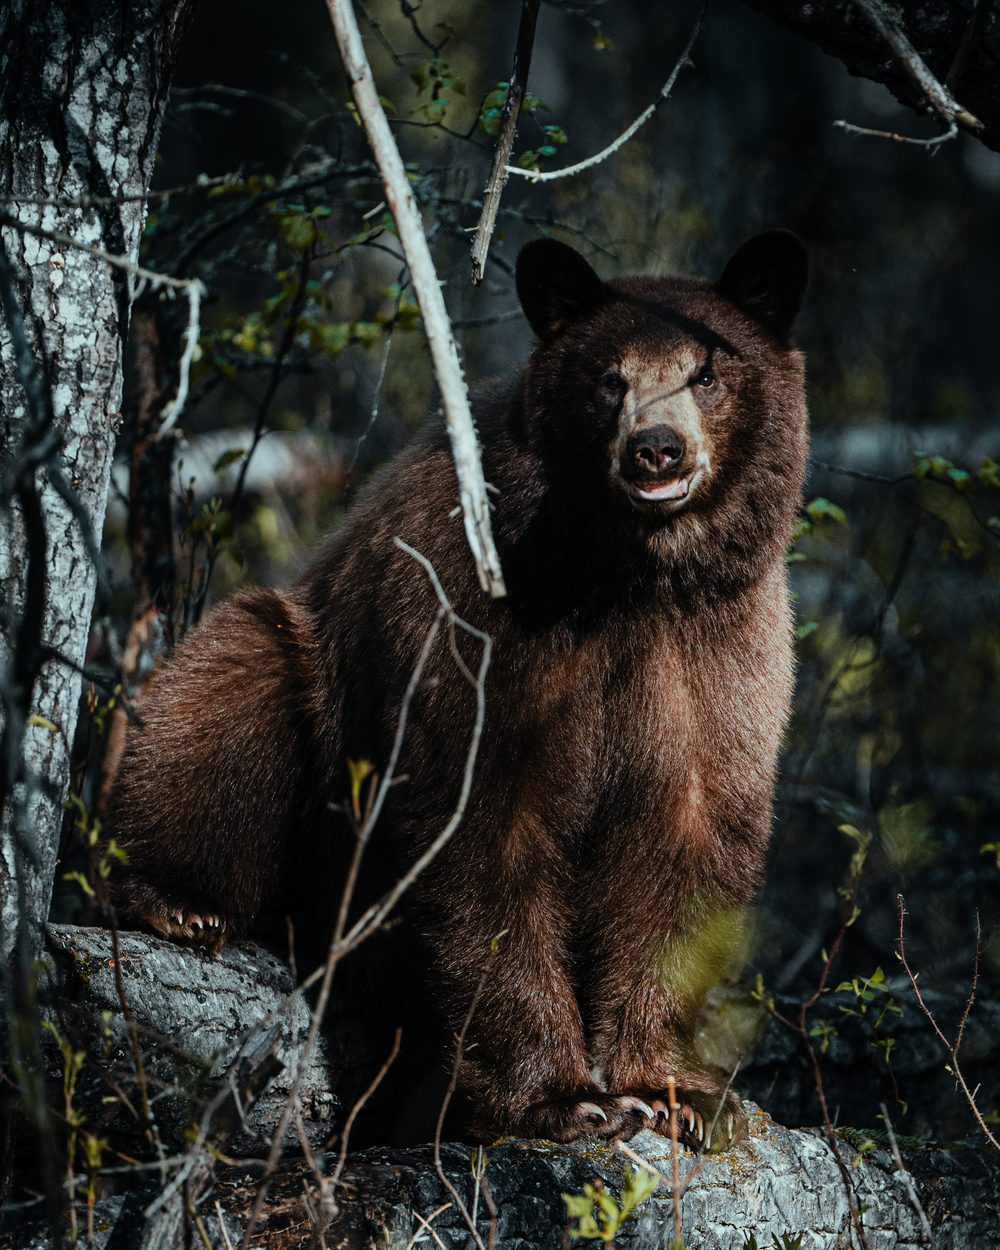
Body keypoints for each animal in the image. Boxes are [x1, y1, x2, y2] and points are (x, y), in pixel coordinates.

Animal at [109, 230, 809, 1149]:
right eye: (609, 378)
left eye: (705, 372)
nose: (655, 449)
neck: (624, 576)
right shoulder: (477, 617)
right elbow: (479, 828)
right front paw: (562, 1098)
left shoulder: (714, 656)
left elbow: (684, 843)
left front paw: (672, 1091)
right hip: (304, 680)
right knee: (228, 686)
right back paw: (176, 901)